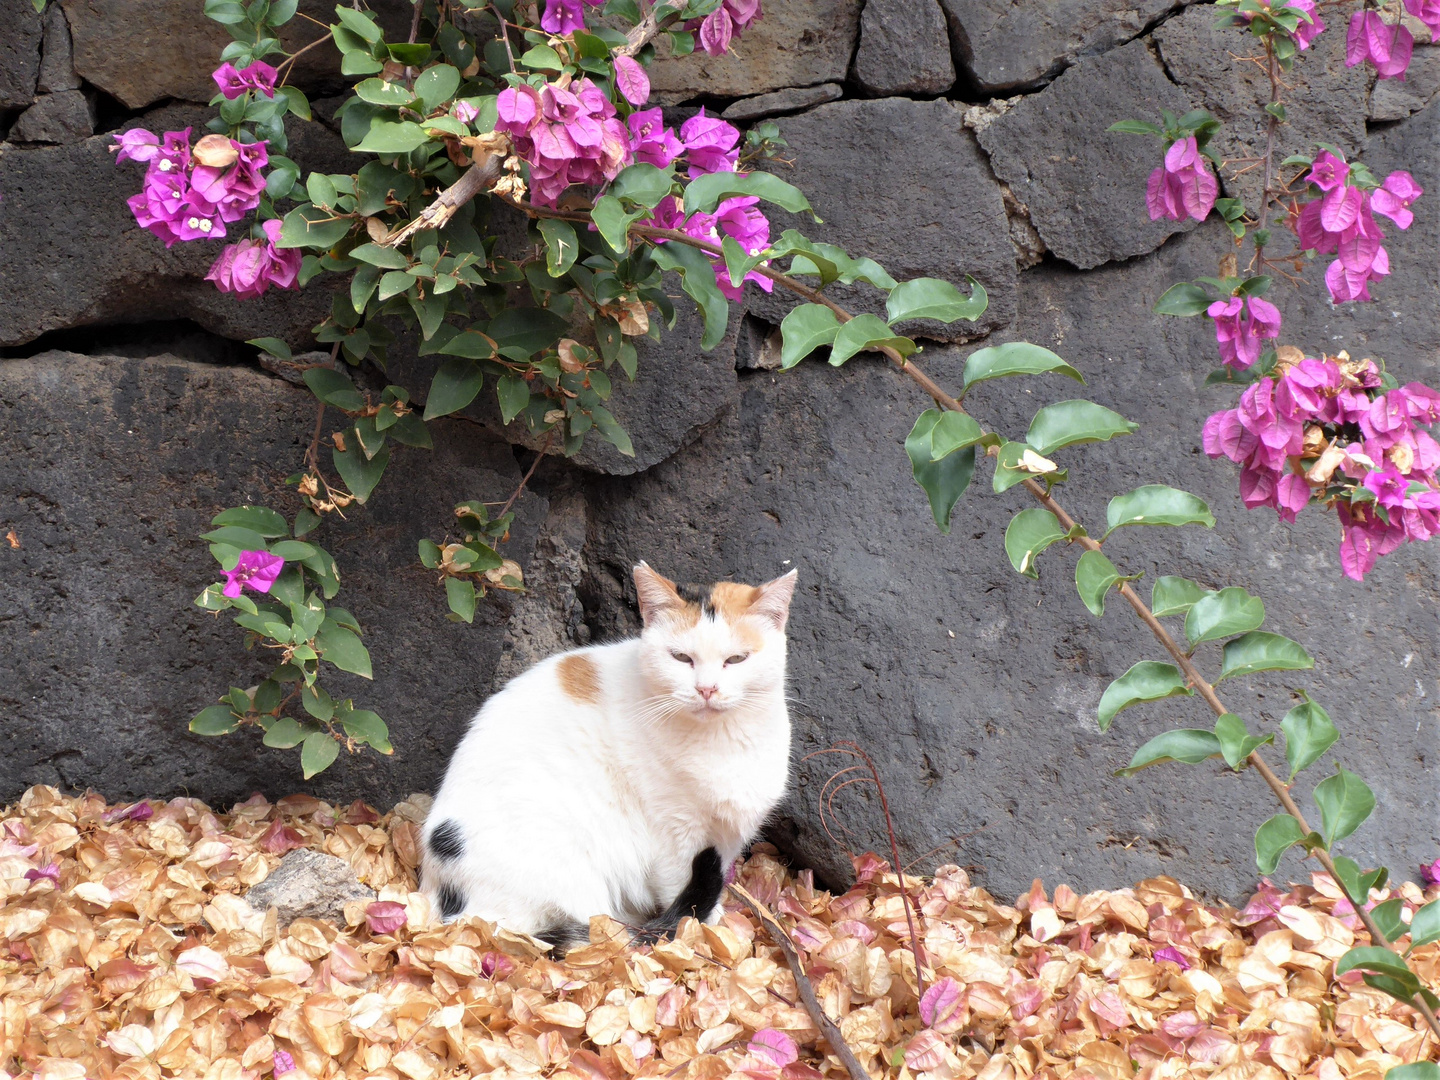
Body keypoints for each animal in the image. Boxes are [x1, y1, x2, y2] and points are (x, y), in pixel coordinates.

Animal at [417, 561, 800, 950]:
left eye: (736, 659)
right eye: (681, 657)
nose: (706, 689)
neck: (721, 739)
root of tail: (458, 917)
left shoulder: (728, 835)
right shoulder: (675, 832)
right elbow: (681, 886)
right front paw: (704, 932)